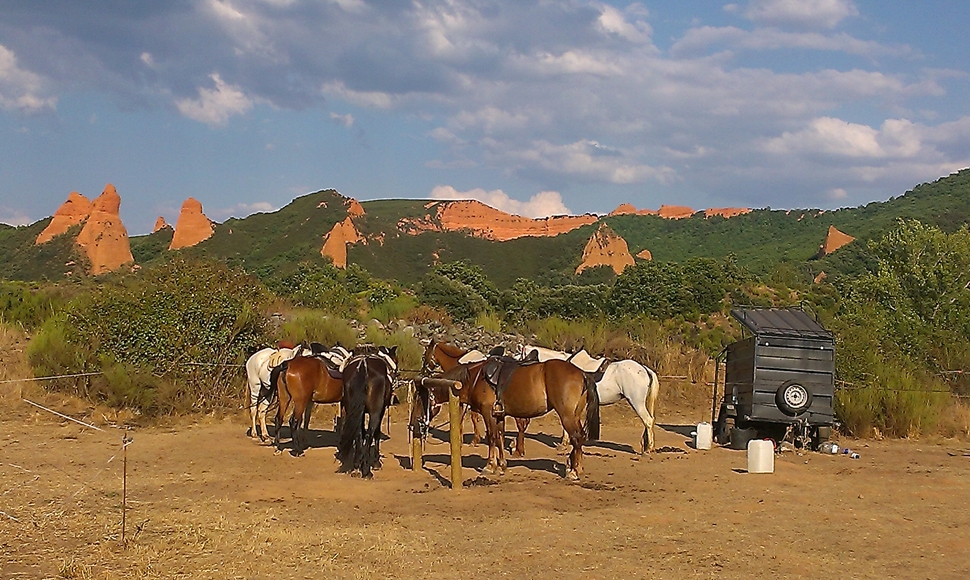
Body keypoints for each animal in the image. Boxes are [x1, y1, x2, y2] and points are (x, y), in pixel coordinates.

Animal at [332, 346, 394, 478]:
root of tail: (363, 364)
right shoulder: (381, 411)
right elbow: (376, 433)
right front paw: (376, 462)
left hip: (353, 409)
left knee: (358, 433)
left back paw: (357, 466)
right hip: (375, 411)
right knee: (370, 433)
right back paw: (366, 470)